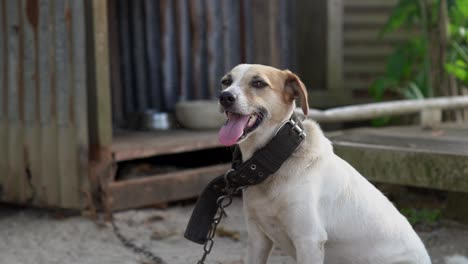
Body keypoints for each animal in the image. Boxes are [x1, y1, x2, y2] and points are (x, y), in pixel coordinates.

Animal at [218, 64, 430, 264]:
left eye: (259, 83)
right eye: (225, 81)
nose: (224, 96)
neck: (277, 158)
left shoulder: (308, 240)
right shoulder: (257, 238)